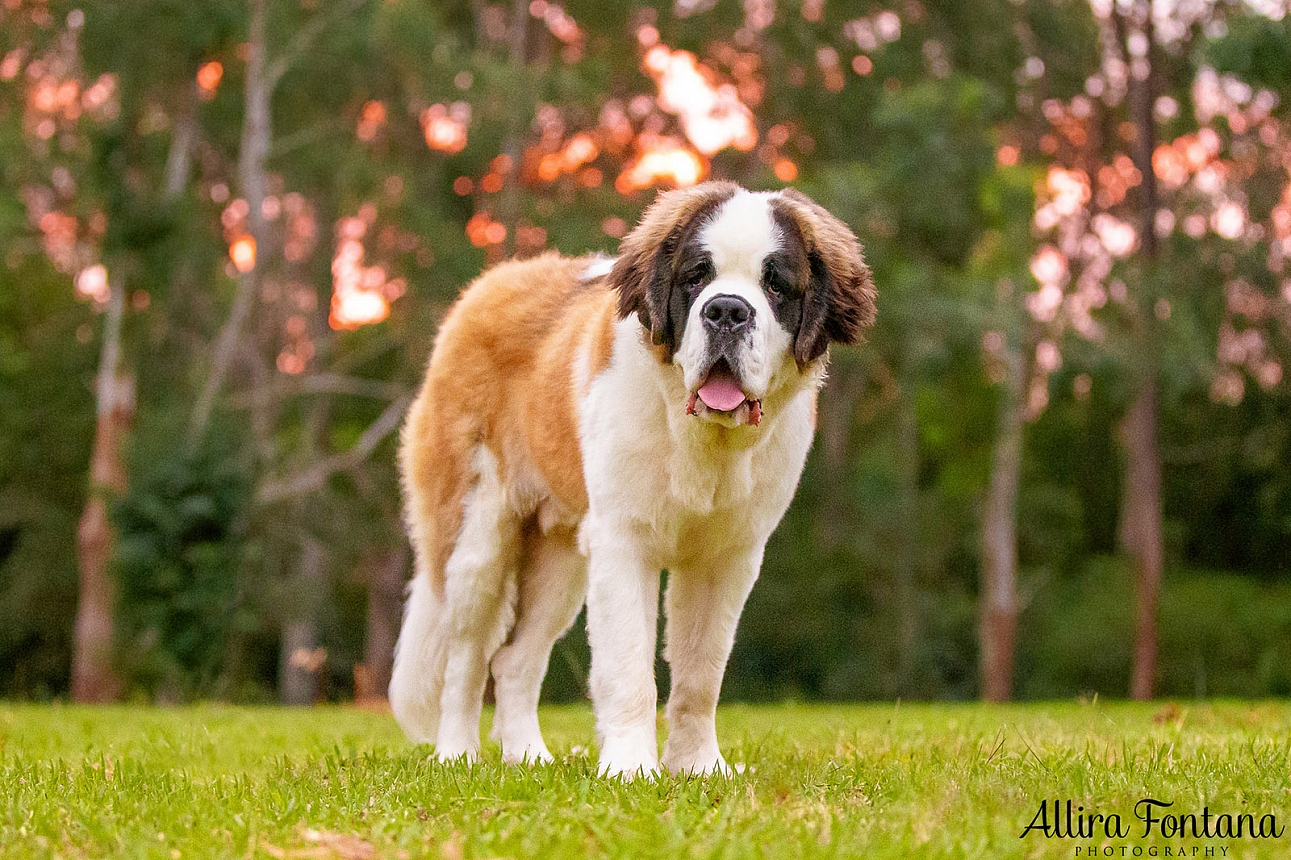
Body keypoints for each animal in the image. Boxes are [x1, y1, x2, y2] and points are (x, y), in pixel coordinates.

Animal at [389, 180, 877, 774]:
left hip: (562, 561)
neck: (705, 440)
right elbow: (628, 668)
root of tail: (488, 285)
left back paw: (528, 758)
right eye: (696, 276)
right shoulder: (623, 543)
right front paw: (630, 769)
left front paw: (698, 767)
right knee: (466, 657)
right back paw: (456, 755)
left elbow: (701, 674)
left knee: (513, 660)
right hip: (476, 538)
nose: (727, 311)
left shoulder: (728, 559)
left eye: (776, 284)